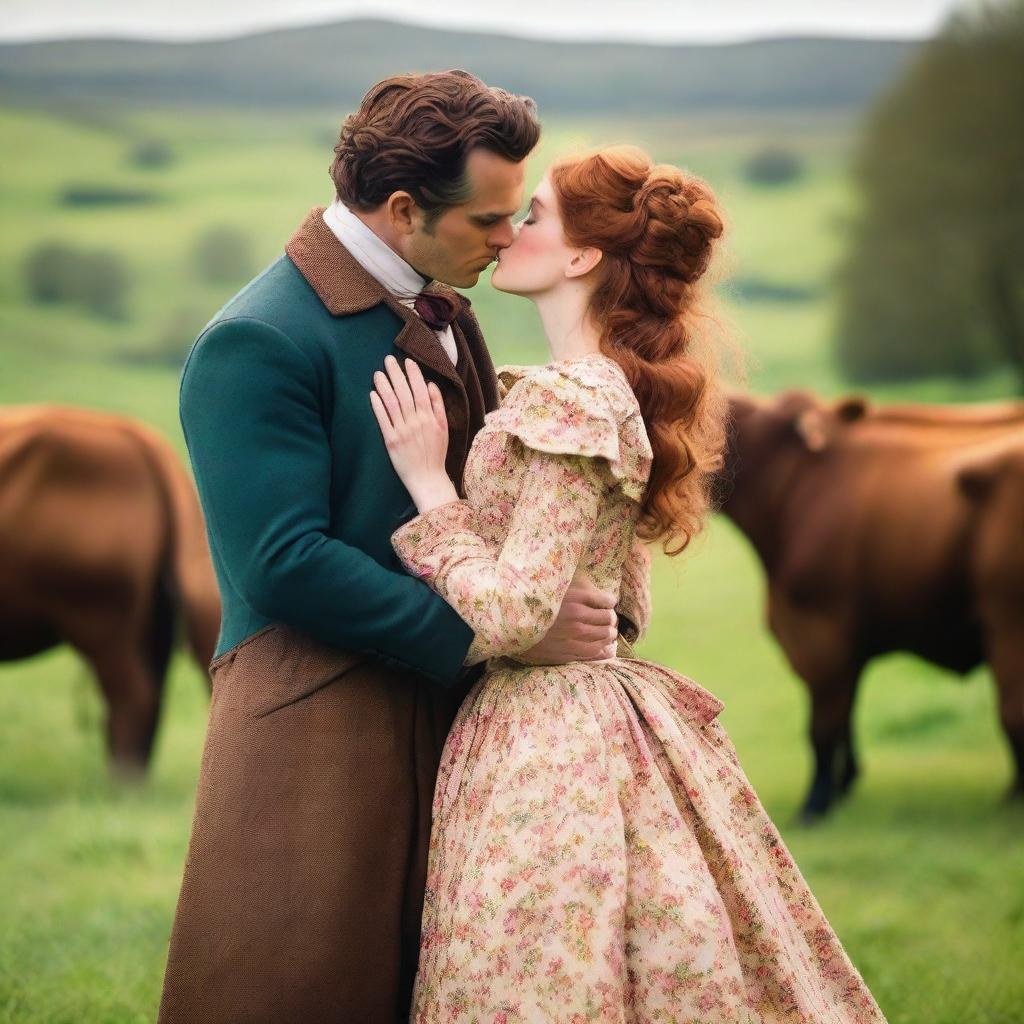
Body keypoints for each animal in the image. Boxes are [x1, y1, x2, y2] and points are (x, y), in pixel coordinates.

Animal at [720, 391, 1024, 823]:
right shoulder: (845, 642)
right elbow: (846, 713)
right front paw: (846, 782)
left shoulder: (819, 631)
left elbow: (822, 727)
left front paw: (816, 803)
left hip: (1009, 623)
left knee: (1013, 710)